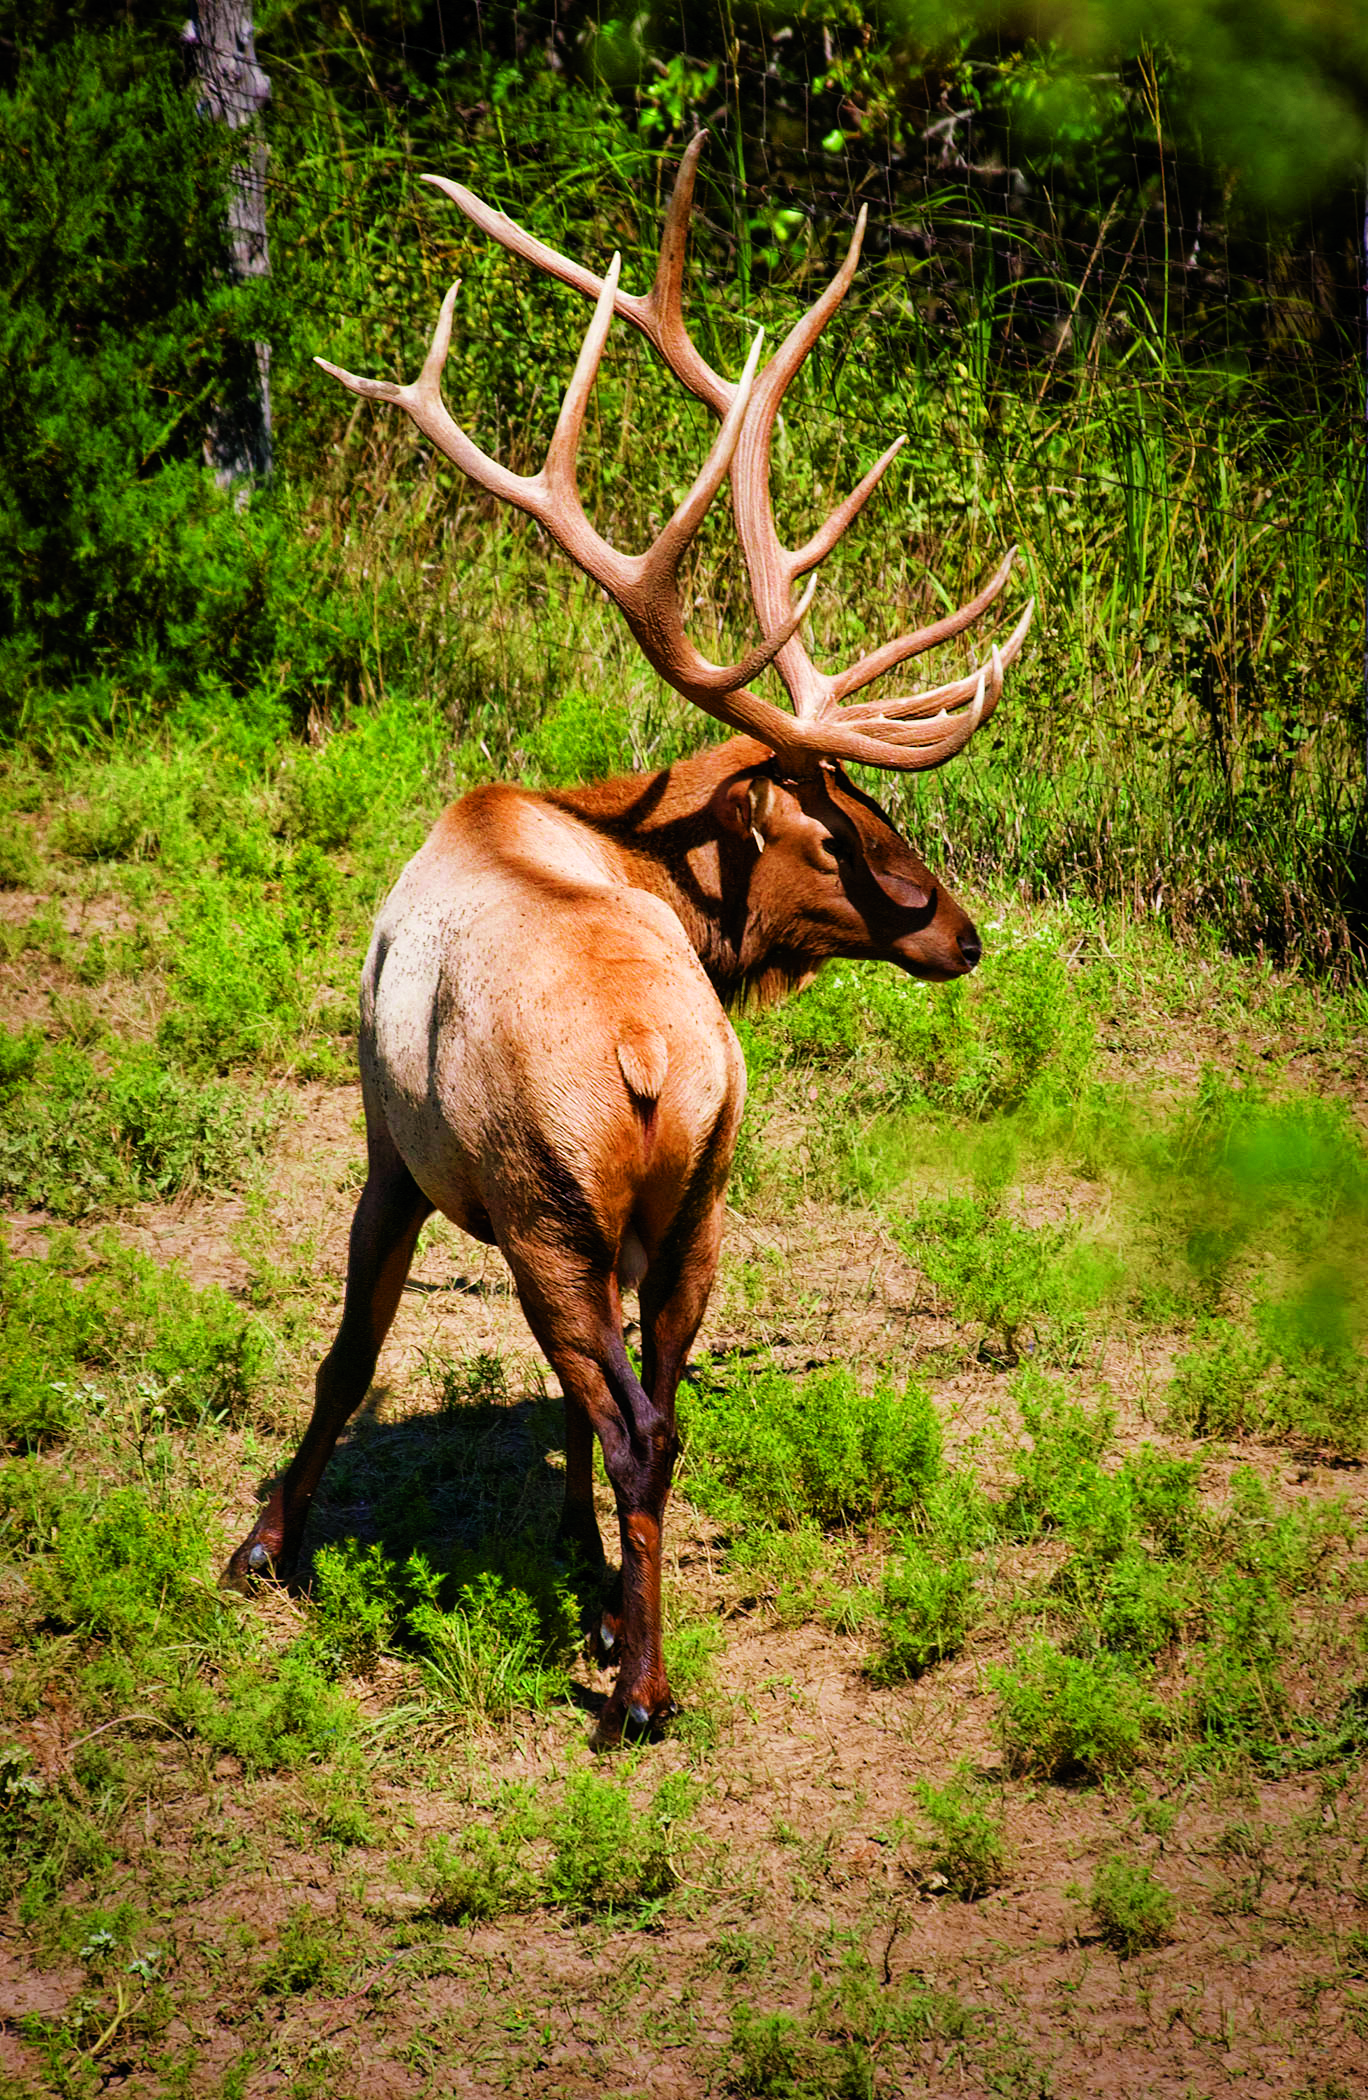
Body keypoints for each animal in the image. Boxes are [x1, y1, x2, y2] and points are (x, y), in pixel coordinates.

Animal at [230, 143, 1033, 1738]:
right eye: (840, 826)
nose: (962, 934)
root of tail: (663, 1053)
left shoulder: (387, 1146)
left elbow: (348, 1356)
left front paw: (267, 1542)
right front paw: (572, 1566)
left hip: (543, 1206)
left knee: (637, 1422)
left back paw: (640, 1692)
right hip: (699, 1196)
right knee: (652, 1400)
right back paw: (629, 1633)